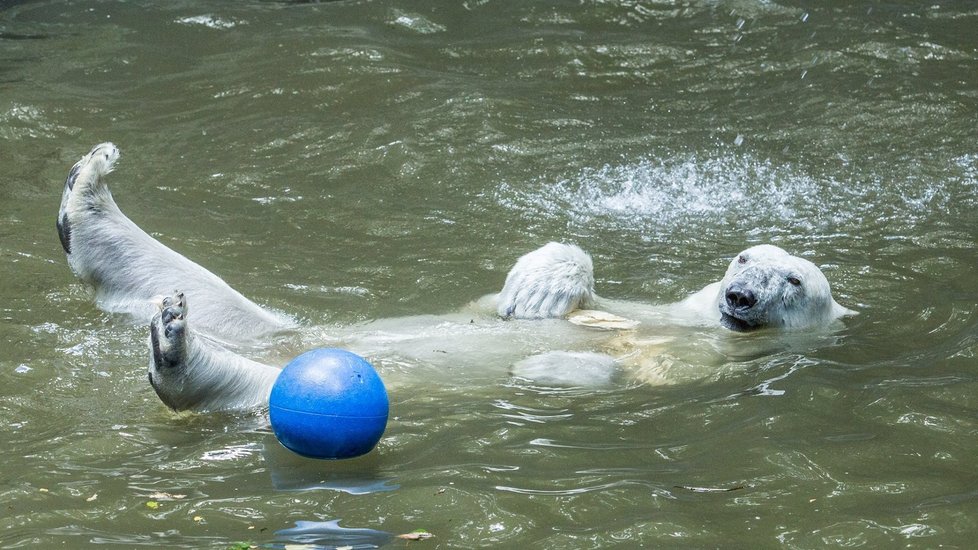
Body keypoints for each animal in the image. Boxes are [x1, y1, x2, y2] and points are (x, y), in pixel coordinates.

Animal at [55, 144, 856, 412]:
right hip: (286, 326)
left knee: (263, 381)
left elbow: (625, 371)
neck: (696, 322)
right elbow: (508, 299)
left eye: (795, 283)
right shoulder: (656, 308)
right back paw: (86, 194)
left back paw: (176, 352)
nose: (740, 294)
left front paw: (546, 365)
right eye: (746, 258)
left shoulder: (701, 360)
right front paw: (541, 285)